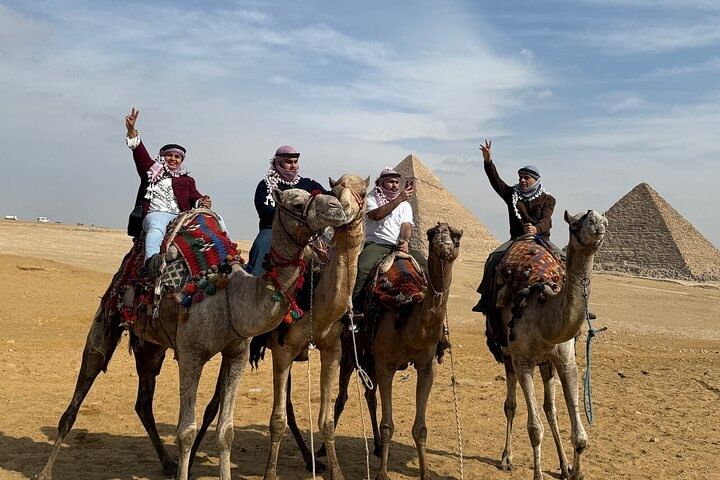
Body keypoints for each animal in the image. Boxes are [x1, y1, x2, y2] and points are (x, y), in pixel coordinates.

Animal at [37, 188, 348, 480]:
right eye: (297, 203)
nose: (337, 207)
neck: (231, 297)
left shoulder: (237, 354)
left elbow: (226, 431)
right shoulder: (190, 355)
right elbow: (186, 430)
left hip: (151, 347)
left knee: (143, 404)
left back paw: (167, 463)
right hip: (107, 318)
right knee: (84, 382)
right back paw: (45, 471)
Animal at [189, 173, 369, 480]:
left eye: (364, 193)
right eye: (335, 190)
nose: (341, 208)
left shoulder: (332, 348)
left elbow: (326, 420)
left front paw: (336, 471)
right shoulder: (283, 351)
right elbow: (276, 420)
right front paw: (269, 473)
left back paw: (311, 460)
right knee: (214, 404)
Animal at [486, 210, 607, 480]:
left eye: (604, 219)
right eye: (575, 223)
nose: (598, 222)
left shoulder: (566, 360)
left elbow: (579, 436)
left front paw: (575, 472)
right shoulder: (523, 362)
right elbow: (534, 428)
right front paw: (538, 475)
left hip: (546, 364)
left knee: (550, 410)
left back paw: (564, 465)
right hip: (509, 356)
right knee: (511, 405)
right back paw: (506, 458)